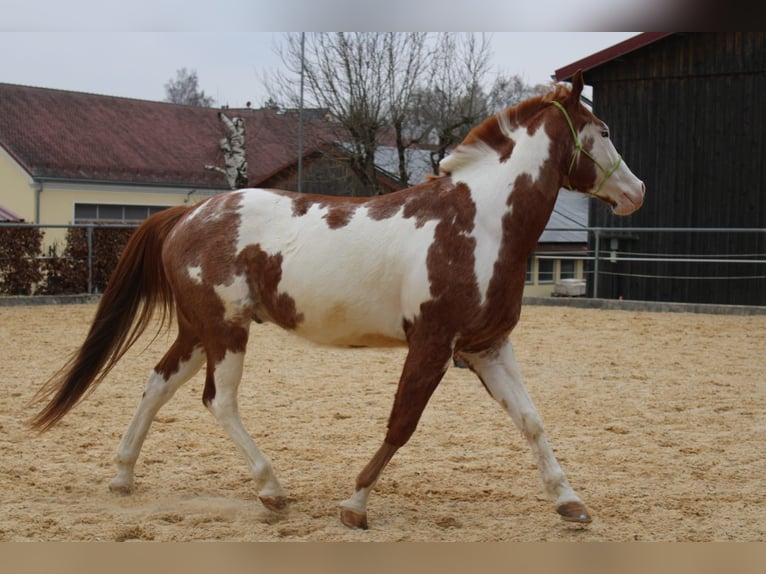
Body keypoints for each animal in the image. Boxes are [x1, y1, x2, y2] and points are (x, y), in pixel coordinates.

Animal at [31, 70, 644, 530]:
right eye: (602, 130)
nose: (635, 192)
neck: (480, 223)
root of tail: (189, 213)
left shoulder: (487, 347)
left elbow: (531, 420)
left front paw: (570, 502)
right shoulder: (432, 343)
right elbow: (401, 424)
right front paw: (355, 505)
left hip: (199, 329)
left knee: (157, 383)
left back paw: (122, 475)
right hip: (225, 329)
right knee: (218, 401)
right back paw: (271, 489)